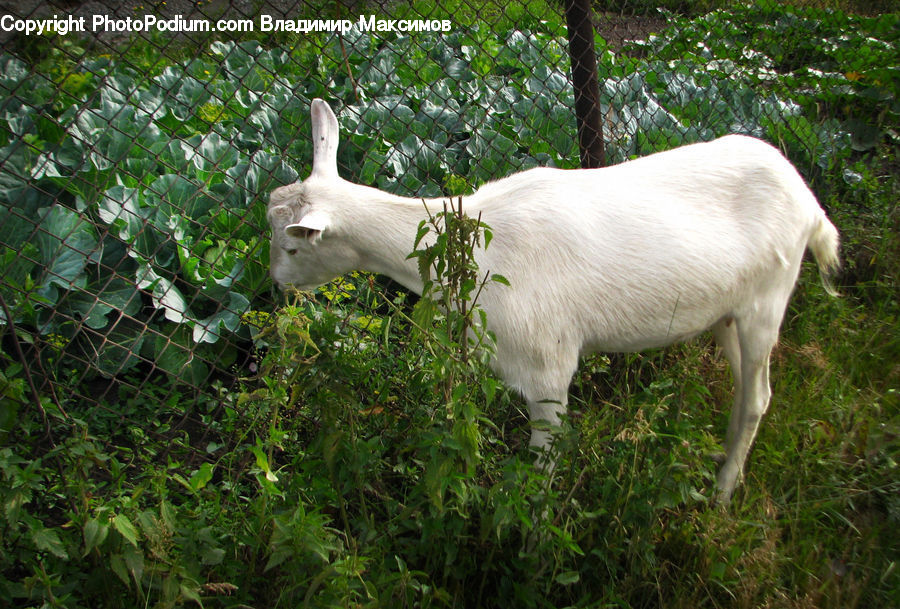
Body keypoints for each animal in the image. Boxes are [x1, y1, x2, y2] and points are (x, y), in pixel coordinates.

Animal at [266, 98, 840, 504]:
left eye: (293, 245)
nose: (276, 281)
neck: (476, 243)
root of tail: (812, 206)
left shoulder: (546, 363)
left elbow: (542, 463)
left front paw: (532, 535)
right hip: (728, 313)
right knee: (746, 389)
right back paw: (722, 461)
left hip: (768, 301)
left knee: (760, 395)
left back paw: (721, 493)